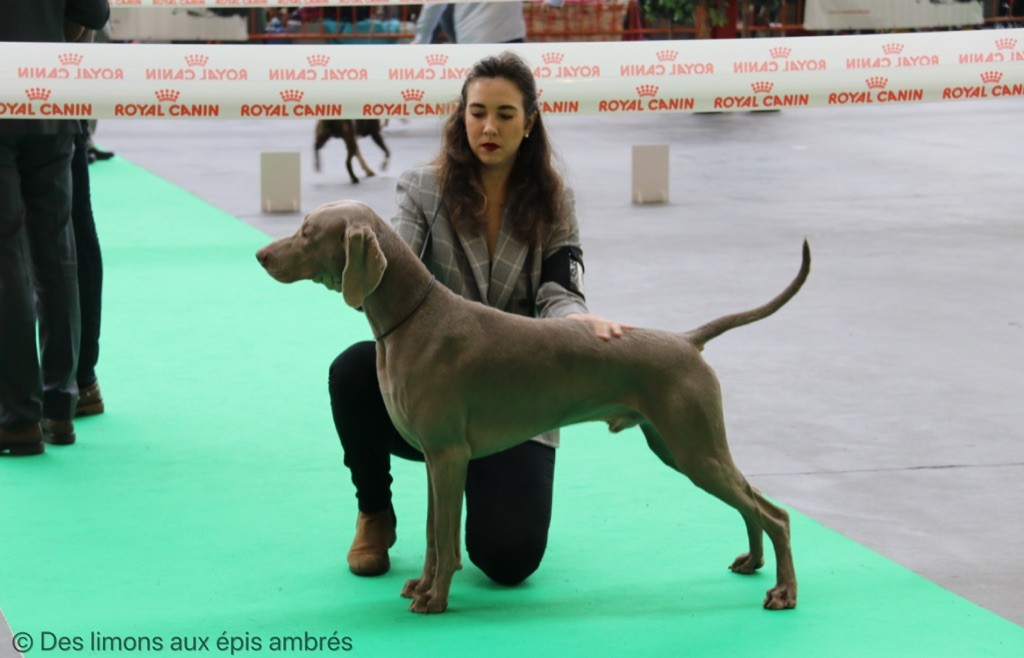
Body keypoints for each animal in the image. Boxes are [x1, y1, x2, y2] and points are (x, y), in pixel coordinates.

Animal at [253, 201, 806, 618]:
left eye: (307, 232)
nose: (260, 254)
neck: (412, 319)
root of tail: (687, 341)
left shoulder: (449, 455)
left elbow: (446, 540)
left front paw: (435, 599)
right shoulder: (434, 459)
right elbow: (432, 535)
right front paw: (422, 585)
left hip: (693, 447)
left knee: (775, 513)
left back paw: (784, 591)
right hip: (678, 446)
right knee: (752, 502)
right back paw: (754, 561)